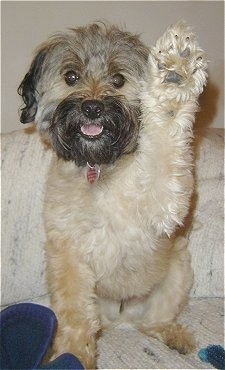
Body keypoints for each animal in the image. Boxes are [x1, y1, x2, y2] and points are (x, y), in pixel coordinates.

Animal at [18, 21, 208, 370]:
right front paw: (74, 354)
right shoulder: (67, 254)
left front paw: (174, 74)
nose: (92, 107)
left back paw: (172, 334)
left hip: (177, 274)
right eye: (71, 76)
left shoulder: (165, 203)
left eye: (118, 79)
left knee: (153, 322)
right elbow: (74, 314)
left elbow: (166, 134)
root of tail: (121, 316)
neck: (100, 169)